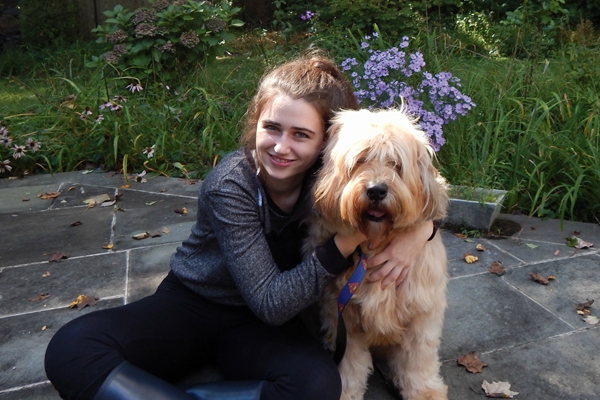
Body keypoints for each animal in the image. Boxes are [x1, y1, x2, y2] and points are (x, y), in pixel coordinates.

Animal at [308, 108, 448, 398]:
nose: (376, 190)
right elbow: (350, 362)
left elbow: (418, 358)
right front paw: (346, 391)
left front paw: (424, 391)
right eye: (361, 160)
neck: (375, 243)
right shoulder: (344, 316)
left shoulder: (421, 314)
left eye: (396, 163)